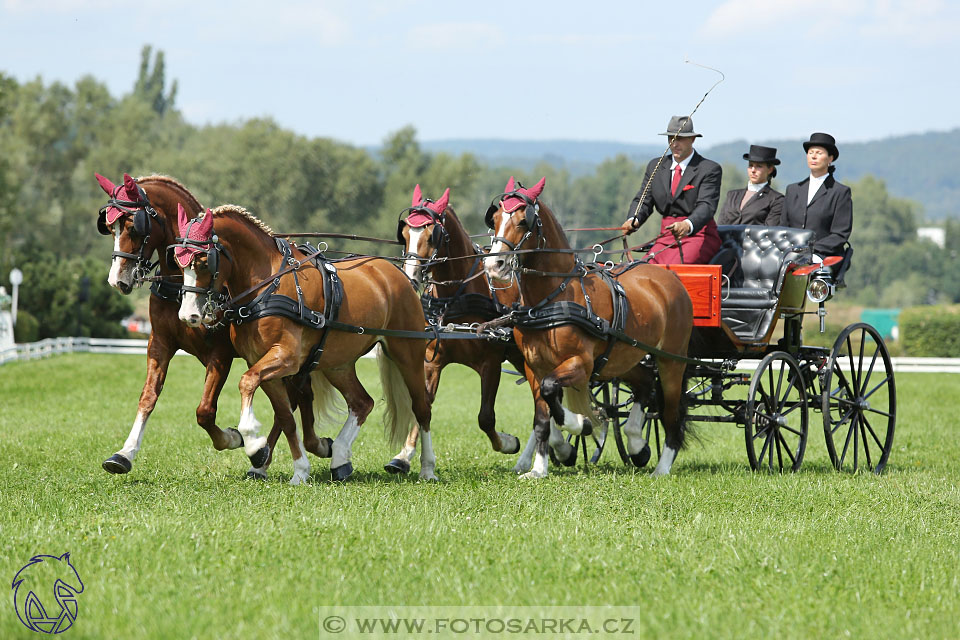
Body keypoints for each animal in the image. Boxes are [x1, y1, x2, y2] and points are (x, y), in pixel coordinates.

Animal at [95, 172, 324, 478]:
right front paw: (124, 453)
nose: (117, 280)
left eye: (133, 227)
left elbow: (204, 410)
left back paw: (273, 454)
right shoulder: (160, 343)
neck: (179, 286)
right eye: (110, 227)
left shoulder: (221, 354)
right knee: (295, 399)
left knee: (295, 399)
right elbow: (148, 397)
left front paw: (235, 439)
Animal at [177, 205, 436, 480]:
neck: (267, 286)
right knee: (362, 402)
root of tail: (397, 274)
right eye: (177, 261)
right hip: (337, 363)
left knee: (422, 408)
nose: (187, 315)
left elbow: (246, 382)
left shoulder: (286, 358)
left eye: (203, 262)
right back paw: (340, 457)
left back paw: (426, 468)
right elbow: (285, 417)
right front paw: (299, 470)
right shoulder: (262, 363)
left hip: (408, 354)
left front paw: (254, 445)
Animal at [484, 178, 692, 478]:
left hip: (671, 361)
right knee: (646, 386)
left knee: (671, 414)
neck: (552, 298)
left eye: (524, 221)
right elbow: (542, 418)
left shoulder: (581, 364)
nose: (493, 265)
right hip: (623, 359)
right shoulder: (534, 368)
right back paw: (637, 445)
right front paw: (539, 469)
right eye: (496, 219)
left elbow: (551, 391)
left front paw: (580, 423)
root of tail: (669, 278)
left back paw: (662, 468)